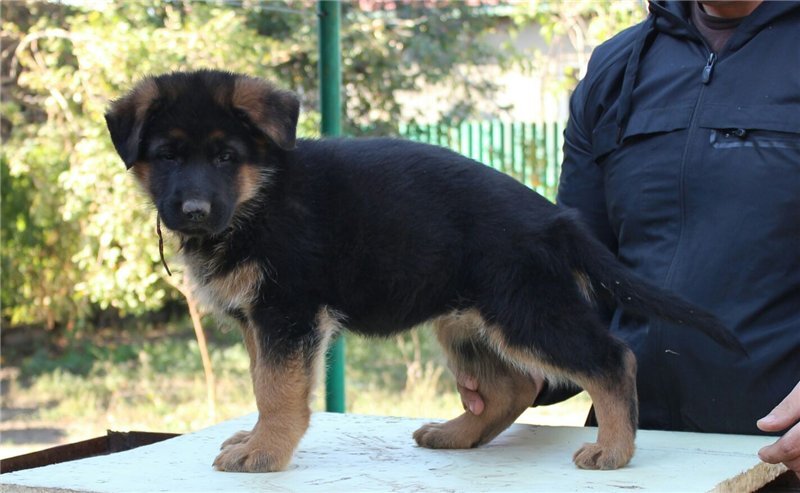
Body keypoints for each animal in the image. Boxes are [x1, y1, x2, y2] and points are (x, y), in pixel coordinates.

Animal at [106, 70, 744, 472]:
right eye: (167, 157)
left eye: (224, 157)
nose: (192, 210)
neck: (259, 197)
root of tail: (555, 218)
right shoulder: (259, 320)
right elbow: (263, 381)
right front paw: (259, 438)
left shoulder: (288, 313)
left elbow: (277, 388)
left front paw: (264, 452)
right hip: (466, 319)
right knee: (512, 386)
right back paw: (458, 434)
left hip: (525, 309)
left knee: (611, 359)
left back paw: (614, 449)